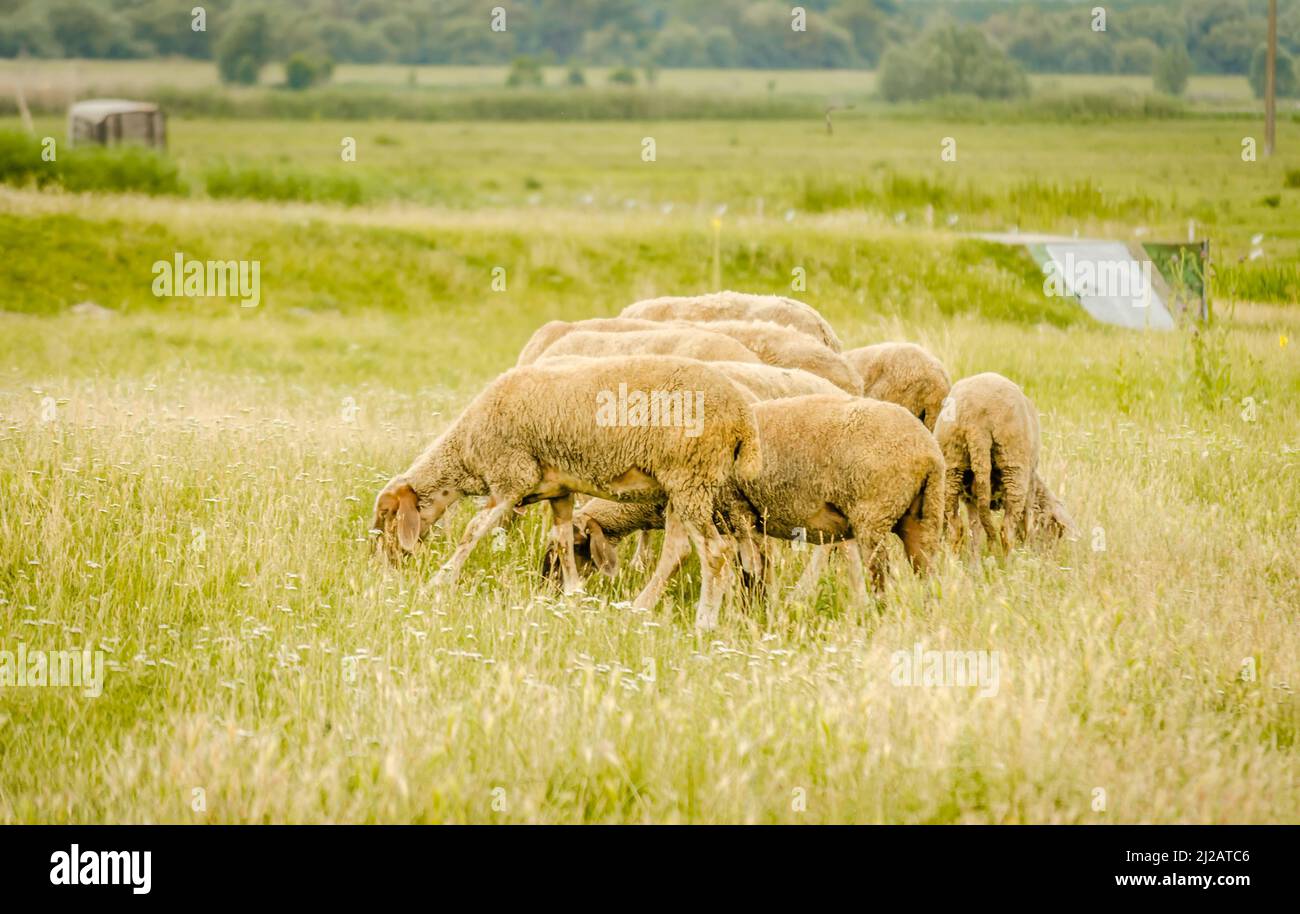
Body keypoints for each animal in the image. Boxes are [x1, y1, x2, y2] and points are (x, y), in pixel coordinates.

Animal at [371, 355, 762, 631]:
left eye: (387, 517)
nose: (381, 568)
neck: (465, 452)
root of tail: (742, 418)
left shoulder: (511, 476)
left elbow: (473, 532)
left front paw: (438, 581)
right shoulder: (559, 490)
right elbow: (560, 540)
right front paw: (573, 595)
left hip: (690, 477)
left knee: (715, 552)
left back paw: (704, 621)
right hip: (682, 487)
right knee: (678, 551)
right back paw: (641, 607)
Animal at [546, 394, 945, 601]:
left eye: (572, 547)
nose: (547, 589)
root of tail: (928, 452)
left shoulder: (740, 511)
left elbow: (749, 570)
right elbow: (753, 571)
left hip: (872, 516)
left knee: (882, 579)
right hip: (920, 520)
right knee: (928, 575)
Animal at [933, 372, 1074, 550]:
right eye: (1056, 532)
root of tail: (977, 419)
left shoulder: (973, 498)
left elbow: (975, 528)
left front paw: (974, 556)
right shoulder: (1029, 488)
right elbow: (1027, 521)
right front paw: (1028, 546)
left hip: (952, 462)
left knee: (956, 527)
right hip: (1013, 464)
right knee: (1006, 530)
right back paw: (1010, 557)